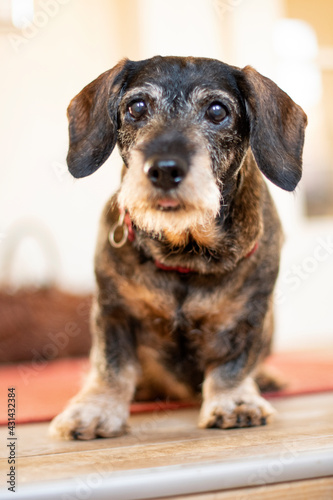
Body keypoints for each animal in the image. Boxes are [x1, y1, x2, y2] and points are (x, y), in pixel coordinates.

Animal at [49, 53, 306, 438]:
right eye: (137, 107)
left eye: (217, 111)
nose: (165, 170)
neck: (185, 253)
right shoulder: (113, 312)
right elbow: (111, 366)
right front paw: (95, 409)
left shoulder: (251, 316)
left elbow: (233, 366)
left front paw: (234, 402)